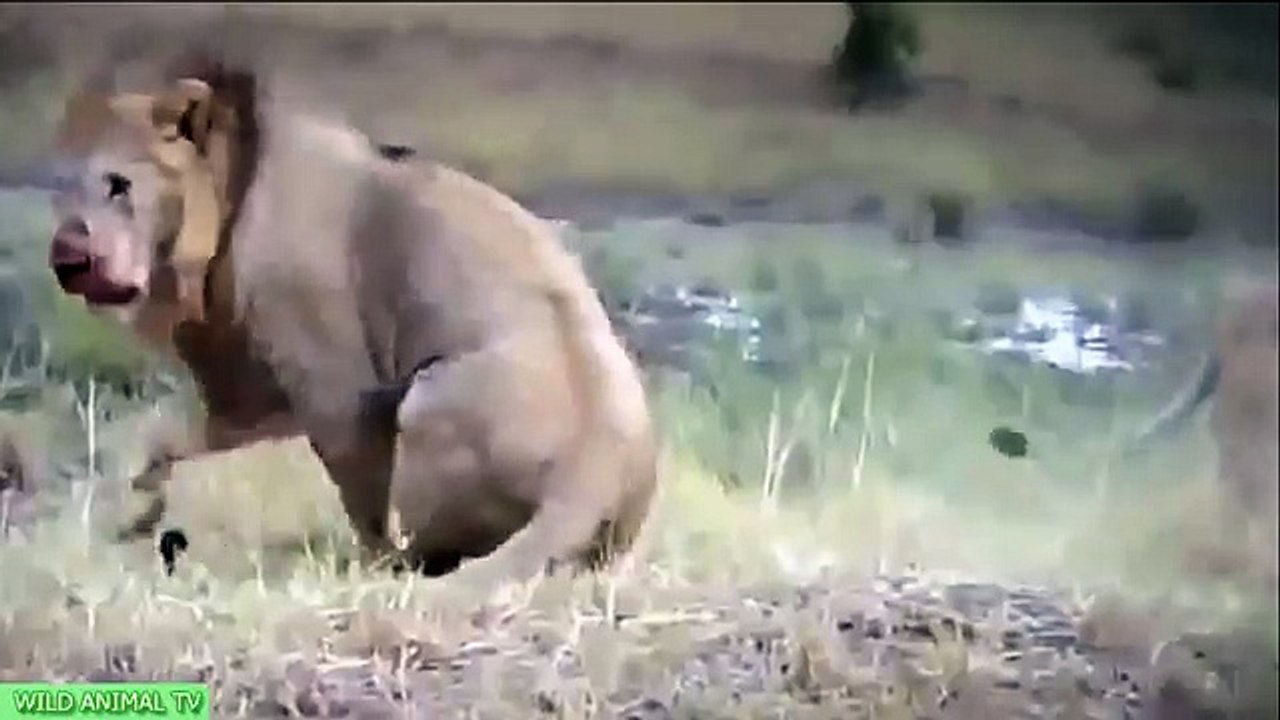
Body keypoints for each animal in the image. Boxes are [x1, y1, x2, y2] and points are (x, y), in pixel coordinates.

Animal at [44, 56, 658, 587]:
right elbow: (171, 435)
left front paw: (364, 563)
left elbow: (361, 497)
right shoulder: (252, 384)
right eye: (64, 188)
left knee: (427, 555)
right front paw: (134, 504)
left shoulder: (337, 390)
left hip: (426, 398)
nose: (65, 260)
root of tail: (591, 471)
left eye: (119, 185)